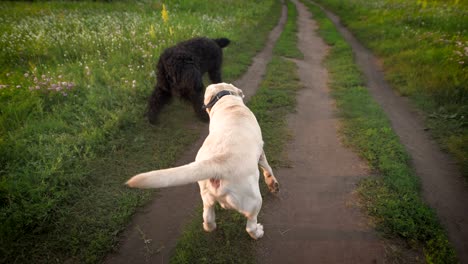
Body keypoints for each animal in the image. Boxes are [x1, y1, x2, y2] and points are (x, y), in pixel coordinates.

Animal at [126, 82, 278, 239]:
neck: (226, 101)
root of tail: (217, 163)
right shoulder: (261, 151)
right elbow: (267, 168)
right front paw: (272, 183)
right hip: (253, 201)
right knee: (250, 225)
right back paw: (258, 232)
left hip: (206, 197)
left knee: (208, 219)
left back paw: (210, 226)